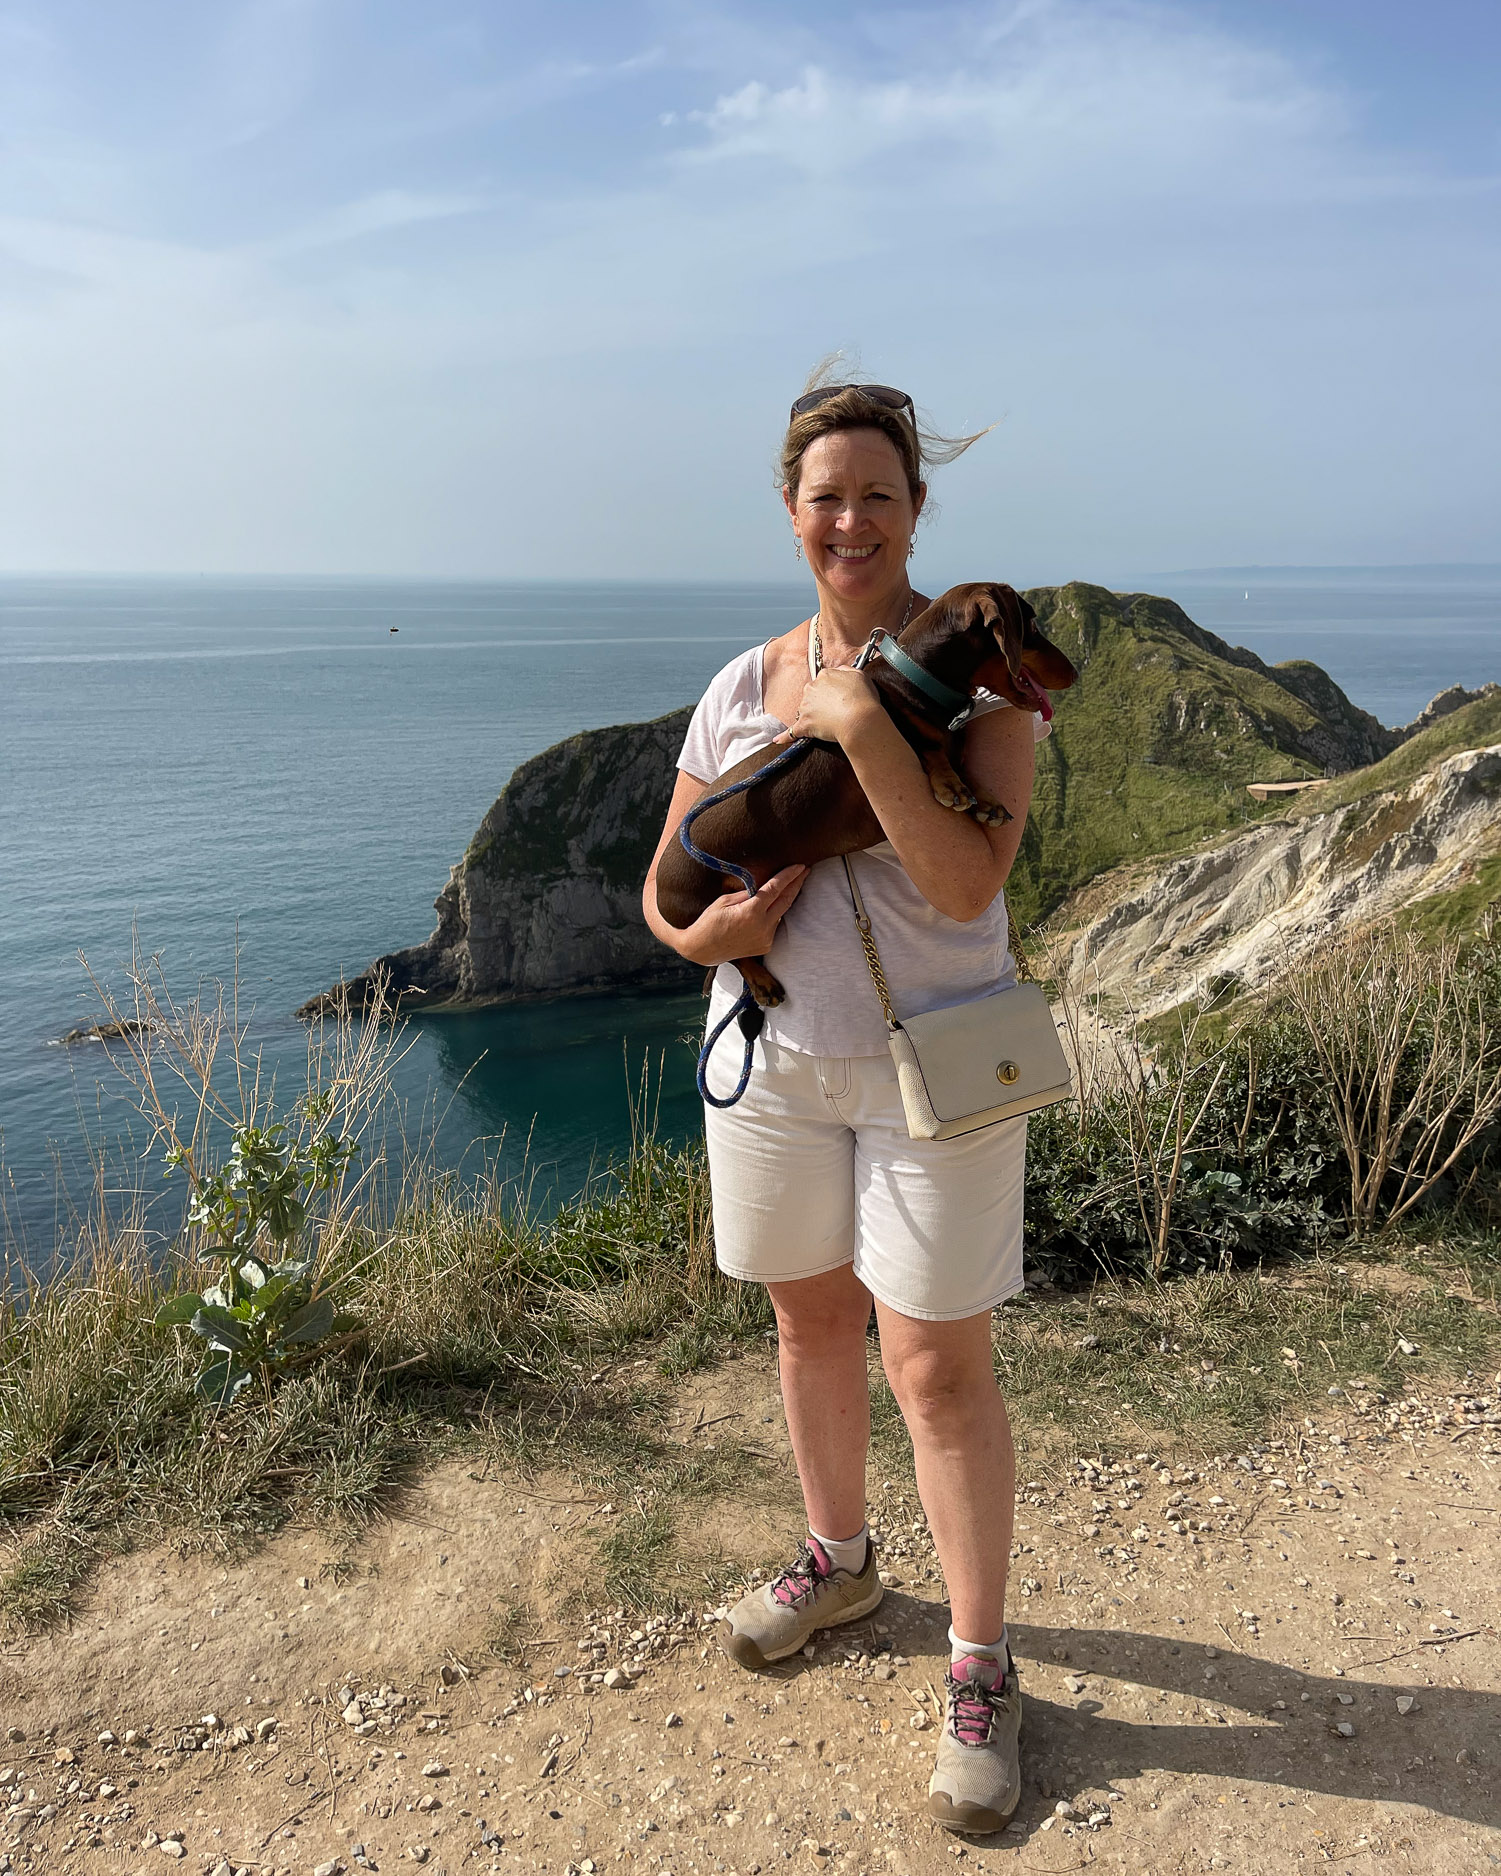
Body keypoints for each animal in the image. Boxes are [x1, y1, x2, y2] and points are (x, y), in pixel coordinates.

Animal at [656, 581, 1080, 1013]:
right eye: (1031, 627)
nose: (1075, 672)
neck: (917, 680)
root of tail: (660, 890)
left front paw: (985, 798)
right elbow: (929, 748)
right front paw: (951, 784)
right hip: (720, 909)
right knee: (736, 953)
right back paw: (762, 983)